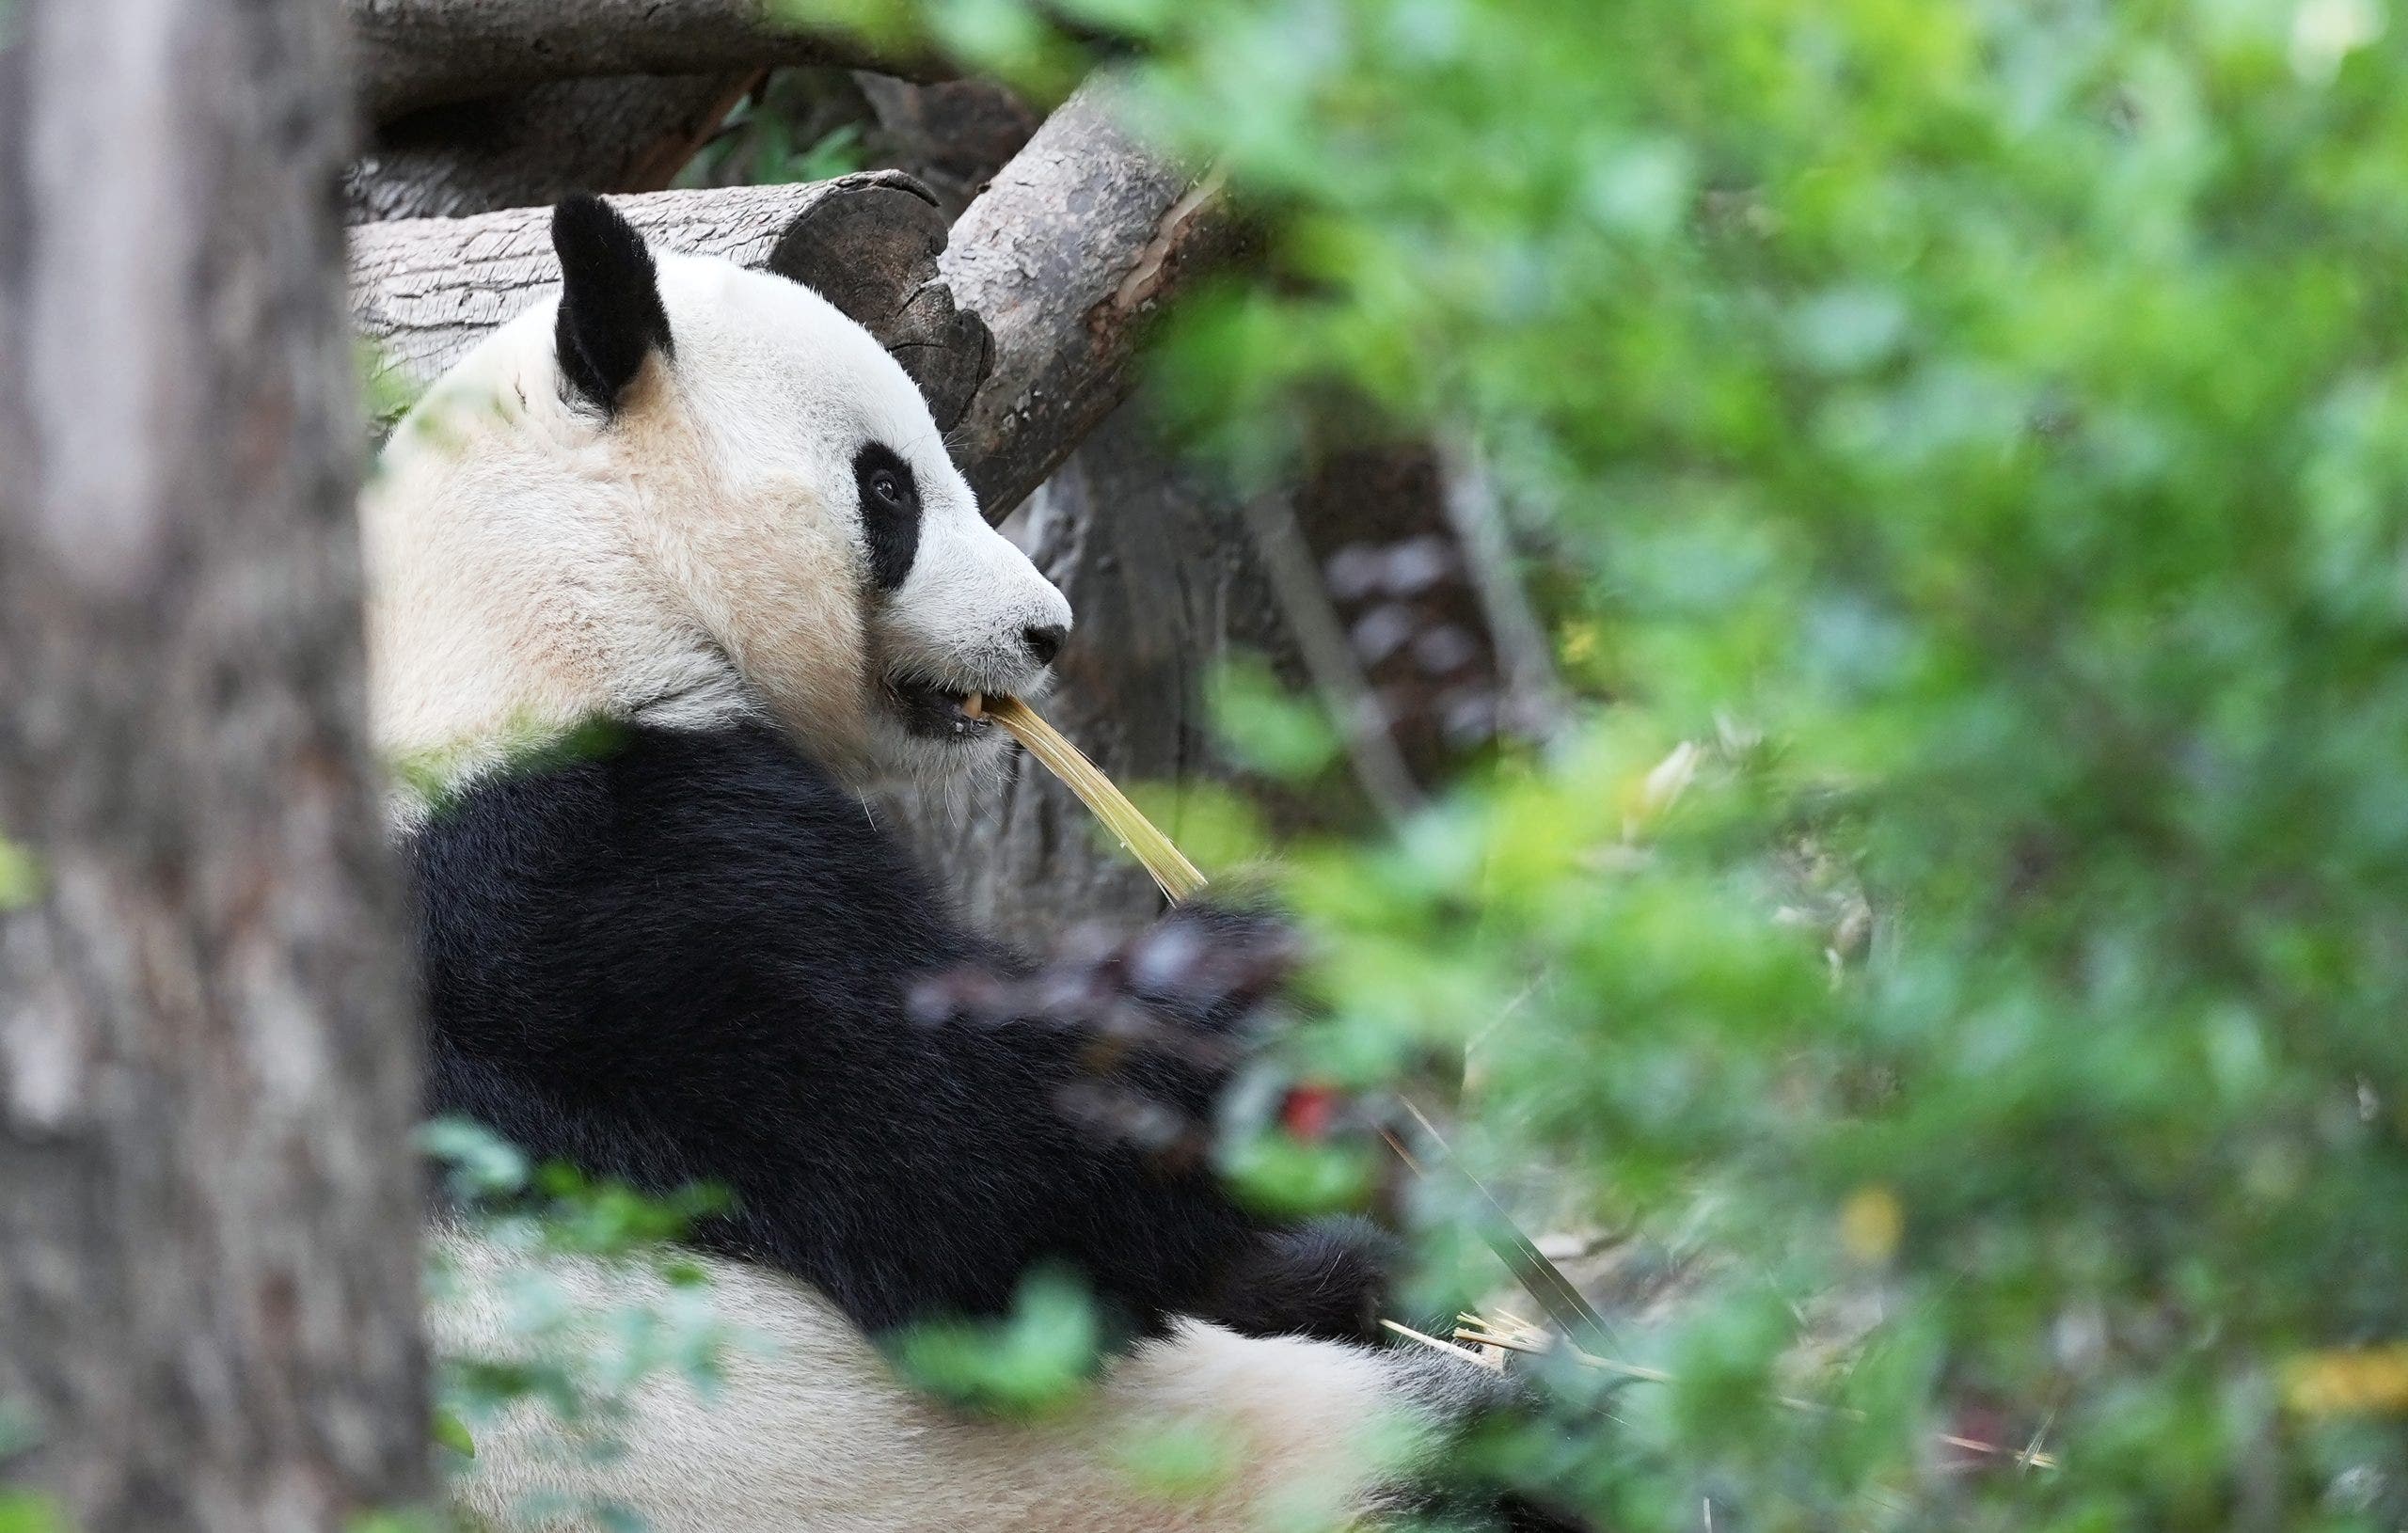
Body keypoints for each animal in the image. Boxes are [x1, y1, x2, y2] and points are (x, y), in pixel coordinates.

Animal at [366, 194, 1574, 1533]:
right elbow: (971, 1187)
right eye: (887, 486)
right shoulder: (591, 891)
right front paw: (1255, 959)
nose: (1045, 631)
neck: (542, 583)